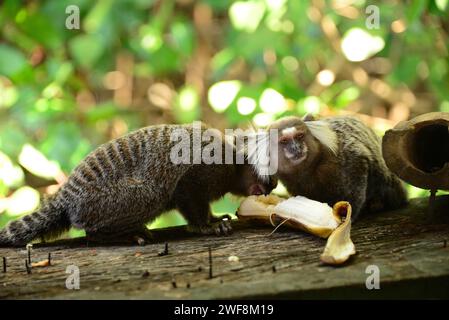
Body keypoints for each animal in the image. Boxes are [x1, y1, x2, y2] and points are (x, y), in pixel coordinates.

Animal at [0, 122, 274, 245]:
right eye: (269, 178)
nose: (270, 188)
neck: (235, 161)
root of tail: (66, 196)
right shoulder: (208, 170)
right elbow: (186, 190)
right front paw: (205, 226)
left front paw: (213, 218)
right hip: (102, 202)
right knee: (151, 194)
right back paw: (118, 235)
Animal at [262, 115, 406, 220]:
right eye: (284, 141)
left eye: (299, 136)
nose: (296, 148)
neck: (310, 168)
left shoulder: (345, 156)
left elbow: (358, 168)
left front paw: (346, 214)